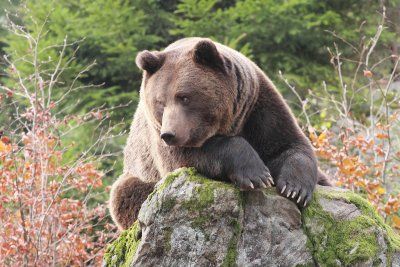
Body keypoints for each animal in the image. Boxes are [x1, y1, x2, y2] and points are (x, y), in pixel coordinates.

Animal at [110, 37, 332, 230]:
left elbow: (289, 144)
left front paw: (295, 189)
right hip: (138, 176)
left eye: (184, 97)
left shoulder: (257, 106)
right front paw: (255, 174)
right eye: (160, 102)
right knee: (124, 194)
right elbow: (187, 157)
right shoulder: (160, 139)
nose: (169, 134)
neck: (229, 122)